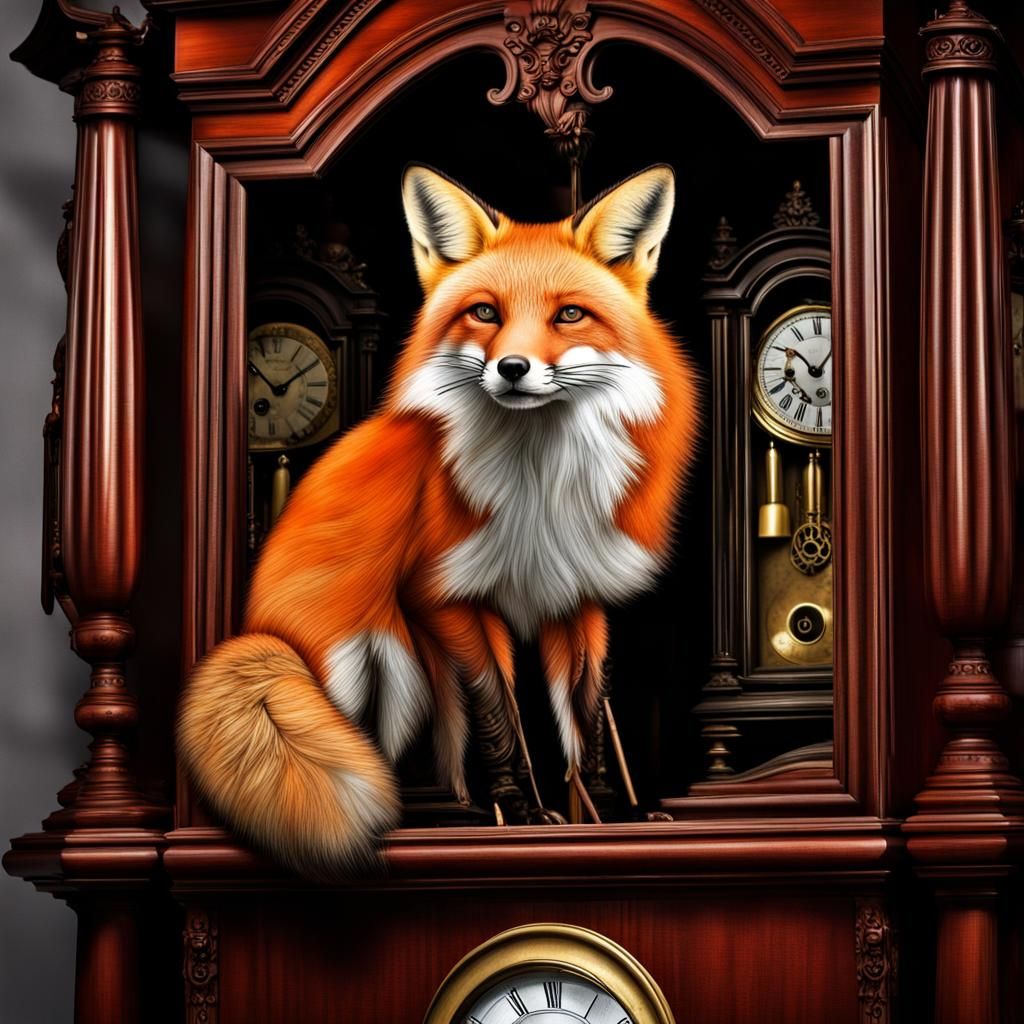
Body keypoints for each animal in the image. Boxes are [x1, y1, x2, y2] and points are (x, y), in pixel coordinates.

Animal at [177, 163, 699, 875]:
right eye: (485, 312)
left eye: (569, 315)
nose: (512, 368)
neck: (539, 484)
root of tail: (257, 627)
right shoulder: (443, 596)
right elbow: (500, 716)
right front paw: (523, 813)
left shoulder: (577, 598)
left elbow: (583, 720)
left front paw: (608, 815)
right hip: (377, 663)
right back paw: (435, 814)